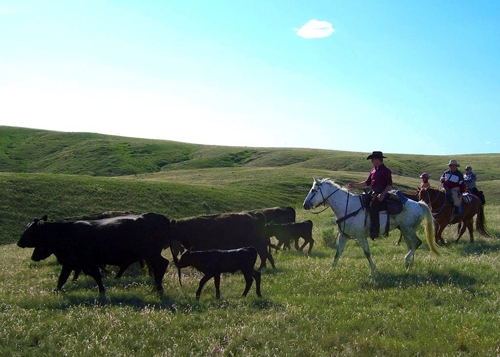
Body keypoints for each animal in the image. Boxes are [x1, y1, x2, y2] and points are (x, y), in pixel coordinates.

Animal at [17, 213, 171, 294]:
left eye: (30, 231)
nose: (19, 243)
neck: (66, 232)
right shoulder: (72, 263)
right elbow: (63, 278)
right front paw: (57, 291)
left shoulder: (86, 262)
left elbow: (95, 275)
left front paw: (102, 290)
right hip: (149, 255)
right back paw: (155, 286)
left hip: (151, 253)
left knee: (162, 264)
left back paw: (158, 287)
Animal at [300, 177, 438, 272]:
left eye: (313, 190)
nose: (305, 205)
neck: (348, 207)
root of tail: (418, 204)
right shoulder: (344, 236)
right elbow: (338, 253)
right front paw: (331, 271)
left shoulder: (361, 237)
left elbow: (367, 253)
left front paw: (373, 270)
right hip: (405, 231)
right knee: (411, 245)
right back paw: (409, 266)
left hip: (408, 230)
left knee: (417, 243)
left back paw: (406, 260)